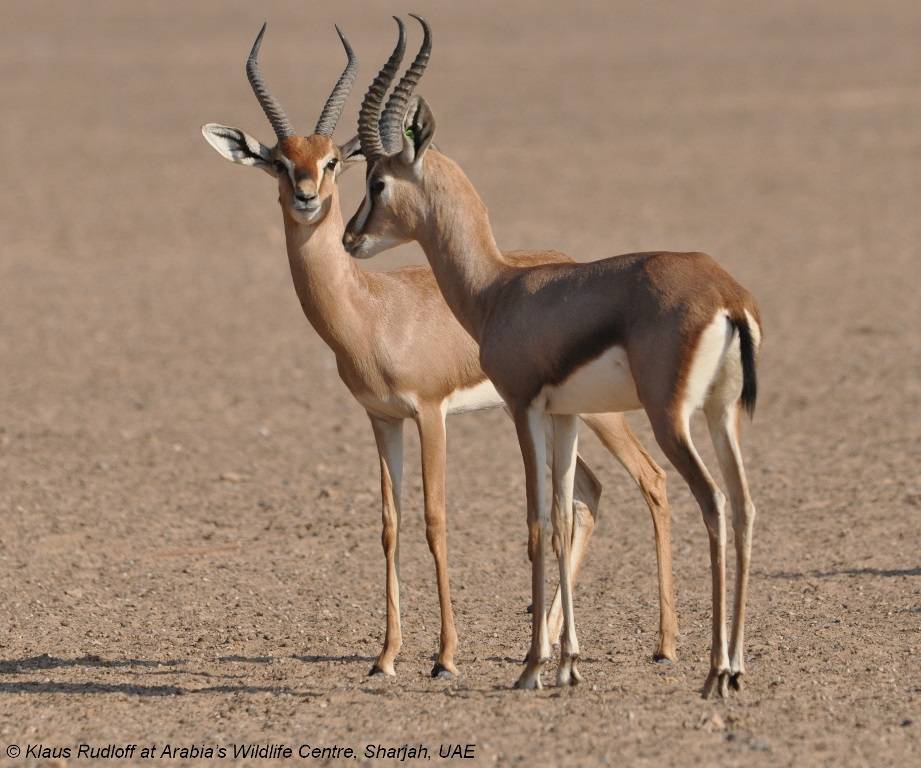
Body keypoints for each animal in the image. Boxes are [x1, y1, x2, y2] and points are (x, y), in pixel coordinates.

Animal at [202, 21, 677, 680]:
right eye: (278, 161)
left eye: (331, 161)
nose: (307, 198)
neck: (373, 310)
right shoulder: (382, 419)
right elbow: (390, 525)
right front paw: (386, 656)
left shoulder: (430, 415)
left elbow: (435, 520)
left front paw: (446, 657)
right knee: (587, 495)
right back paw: (550, 643)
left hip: (599, 415)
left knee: (650, 480)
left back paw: (663, 643)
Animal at [343, 17, 763, 697]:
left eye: (378, 182)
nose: (351, 237)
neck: (499, 288)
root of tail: (726, 294)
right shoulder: (564, 416)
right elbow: (567, 516)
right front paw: (567, 662)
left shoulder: (522, 408)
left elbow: (539, 523)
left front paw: (531, 666)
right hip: (721, 415)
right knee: (745, 504)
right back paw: (738, 665)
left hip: (670, 419)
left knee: (713, 503)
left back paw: (713, 671)